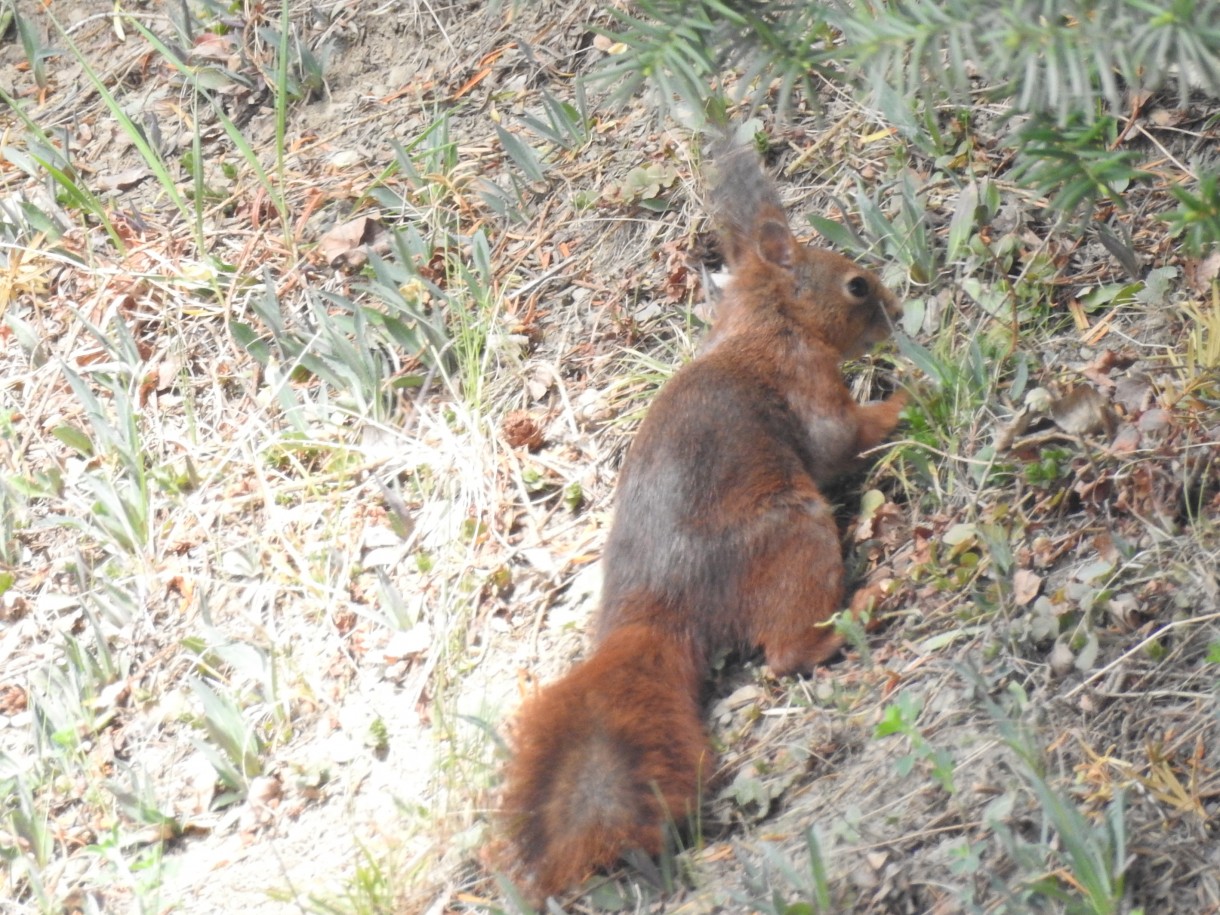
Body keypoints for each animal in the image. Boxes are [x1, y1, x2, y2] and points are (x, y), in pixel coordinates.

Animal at [495, 145, 907, 902]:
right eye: (857, 285)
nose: (895, 311)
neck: (763, 321)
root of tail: (656, 611)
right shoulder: (804, 381)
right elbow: (840, 440)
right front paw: (914, 393)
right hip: (795, 531)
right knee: (787, 652)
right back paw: (863, 606)